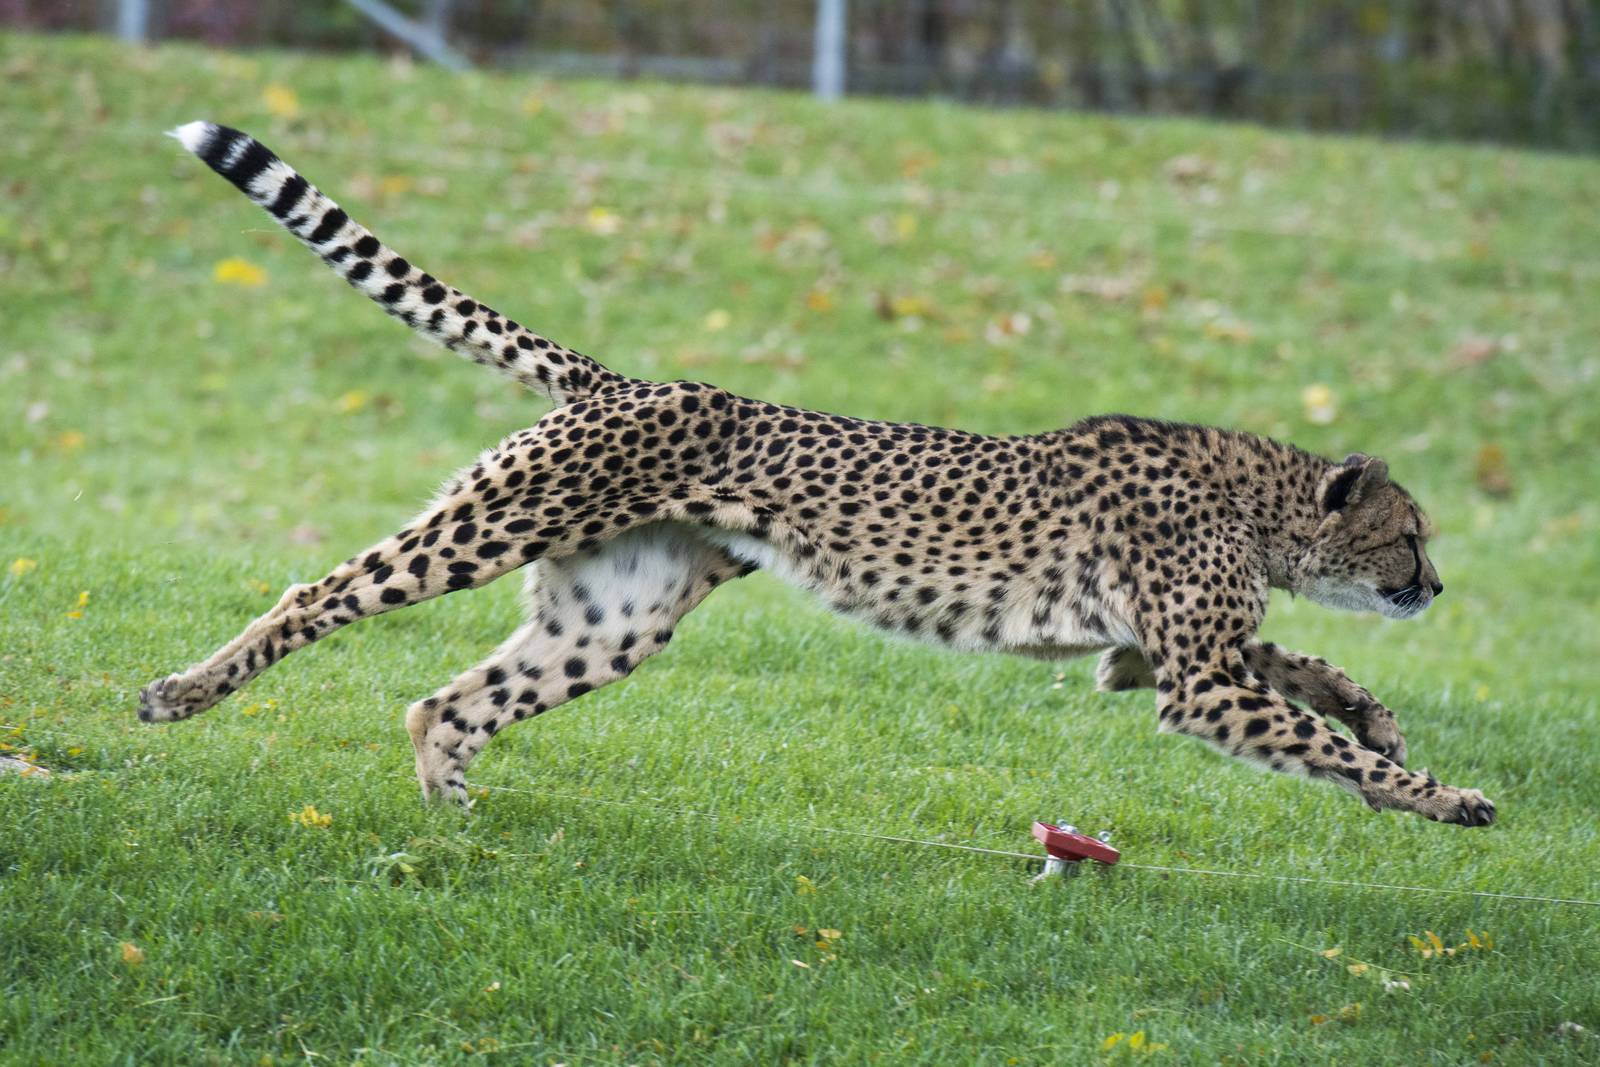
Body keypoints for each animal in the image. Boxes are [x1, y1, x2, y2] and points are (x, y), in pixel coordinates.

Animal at [140, 121, 1495, 829]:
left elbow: (1305, 666)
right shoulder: (1197, 678)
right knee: (319, 592)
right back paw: (185, 692)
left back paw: (453, 817)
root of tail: (633, 381)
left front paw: (1376, 715)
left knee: (445, 699)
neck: (1260, 503)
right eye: (1410, 532)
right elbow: (1304, 723)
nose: (1434, 586)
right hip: (494, 523)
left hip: (613, 618)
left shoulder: (1178, 649)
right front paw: (1438, 794)